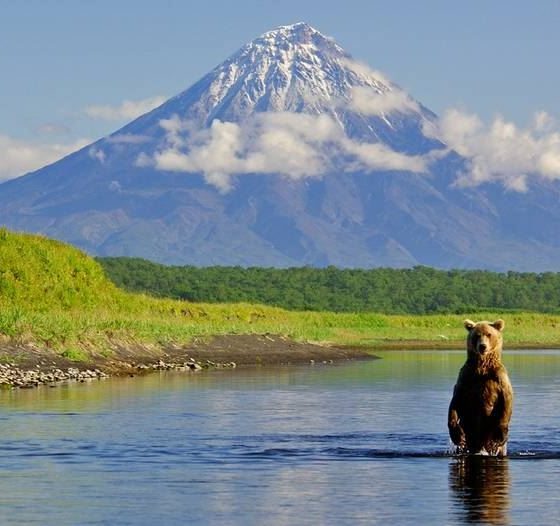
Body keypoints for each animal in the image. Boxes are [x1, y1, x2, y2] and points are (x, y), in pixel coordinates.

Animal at [448, 320, 516, 456]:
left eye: (489, 334)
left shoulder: (499, 378)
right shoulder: (466, 376)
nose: (482, 346)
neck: (482, 366)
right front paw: (457, 435)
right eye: (477, 335)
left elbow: (507, 400)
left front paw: (499, 435)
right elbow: (455, 400)